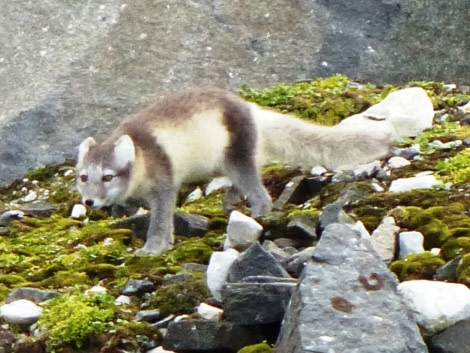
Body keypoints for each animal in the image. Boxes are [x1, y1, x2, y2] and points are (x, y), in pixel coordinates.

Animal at [74, 87, 412, 254]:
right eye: (83, 177)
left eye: (107, 176)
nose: (89, 201)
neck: (142, 154)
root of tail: (253, 110)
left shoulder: (165, 184)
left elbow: (159, 220)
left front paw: (153, 248)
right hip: (228, 162)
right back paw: (230, 202)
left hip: (239, 157)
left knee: (260, 192)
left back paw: (258, 214)